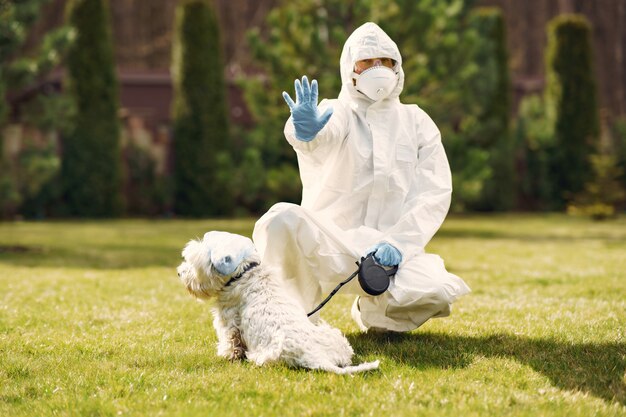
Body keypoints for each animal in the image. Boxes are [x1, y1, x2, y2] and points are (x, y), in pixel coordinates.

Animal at [178, 231, 378, 374]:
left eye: (193, 264)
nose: (179, 272)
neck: (243, 273)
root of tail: (317, 357)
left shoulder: (227, 321)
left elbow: (230, 342)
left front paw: (228, 356)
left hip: (264, 356)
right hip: (337, 339)